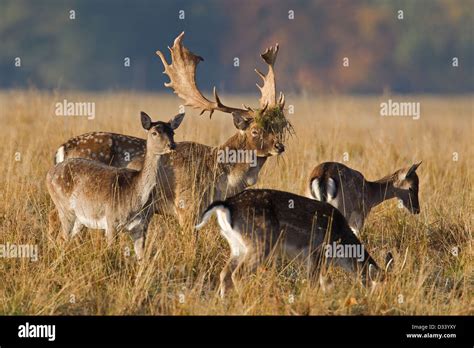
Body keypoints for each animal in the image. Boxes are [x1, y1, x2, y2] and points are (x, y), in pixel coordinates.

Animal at [45, 111, 183, 258]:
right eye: (154, 132)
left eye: (173, 132)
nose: (171, 145)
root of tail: (49, 173)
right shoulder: (111, 221)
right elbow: (111, 252)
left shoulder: (139, 227)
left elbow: (142, 257)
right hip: (65, 208)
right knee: (61, 236)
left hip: (79, 218)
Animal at [51, 32, 288, 226]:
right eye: (255, 130)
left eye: (277, 126)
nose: (280, 146)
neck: (222, 177)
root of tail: (62, 149)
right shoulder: (187, 206)